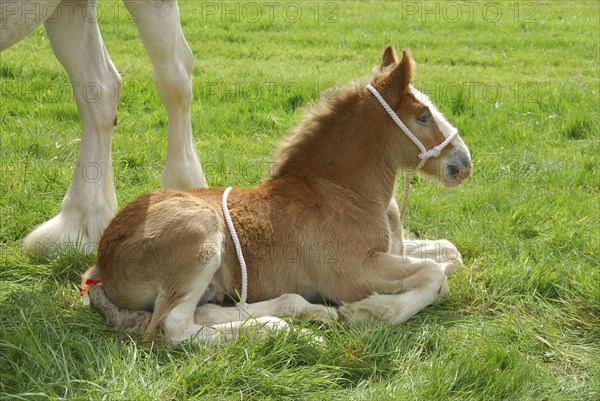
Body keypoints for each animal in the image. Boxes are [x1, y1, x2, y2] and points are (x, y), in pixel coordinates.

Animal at [82, 46, 472, 340]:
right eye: (423, 116)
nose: (464, 163)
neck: (340, 192)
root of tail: (104, 258)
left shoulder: (389, 251)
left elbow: (449, 254)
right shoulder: (352, 272)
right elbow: (434, 275)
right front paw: (371, 311)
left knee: (208, 311)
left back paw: (304, 312)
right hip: (201, 236)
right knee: (176, 327)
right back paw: (289, 331)